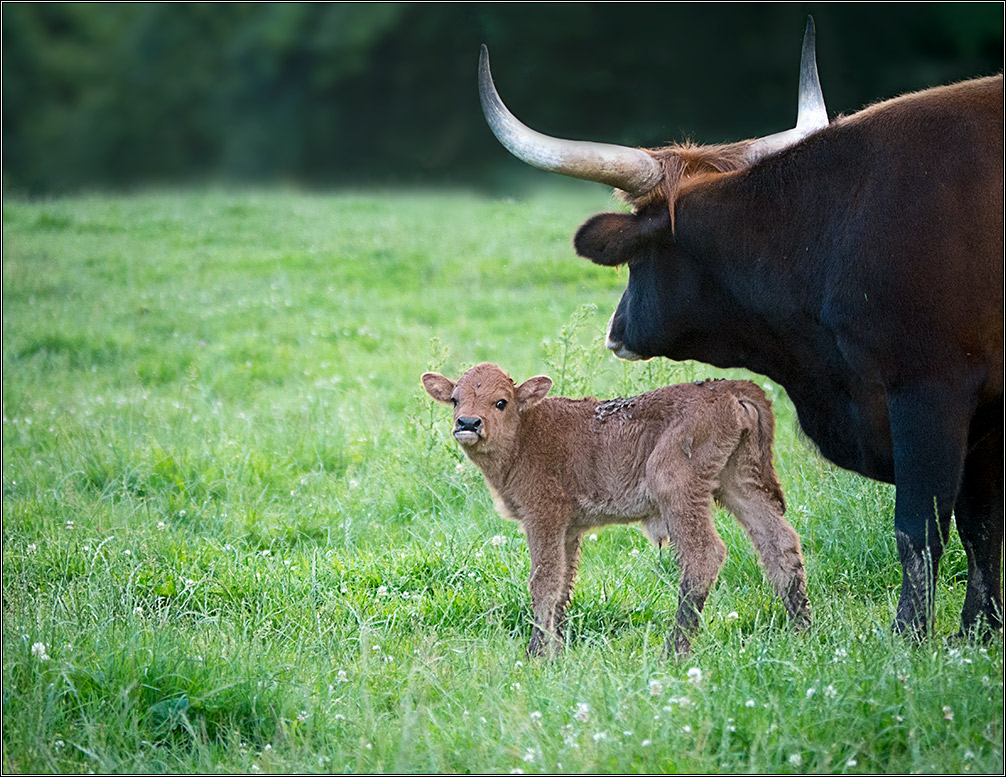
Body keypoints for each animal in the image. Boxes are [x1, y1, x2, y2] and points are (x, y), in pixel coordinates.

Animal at [420, 362, 812, 656]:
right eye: (455, 400)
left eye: (500, 402)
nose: (468, 424)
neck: (527, 431)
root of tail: (732, 388)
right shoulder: (569, 529)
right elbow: (563, 584)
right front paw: (557, 652)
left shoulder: (542, 516)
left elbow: (543, 581)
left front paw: (535, 655)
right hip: (739, 482)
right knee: (778, 542)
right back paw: (802, 631)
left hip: (678, 488)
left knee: (704, 555)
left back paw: (673, 651)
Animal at [478, 18, 1006, 636]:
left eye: (637, 259)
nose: (616, 329)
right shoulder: (985, 418)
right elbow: (981, 528)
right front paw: (977, 632)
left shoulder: (929, 392)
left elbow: (919, 529)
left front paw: (909, 638)